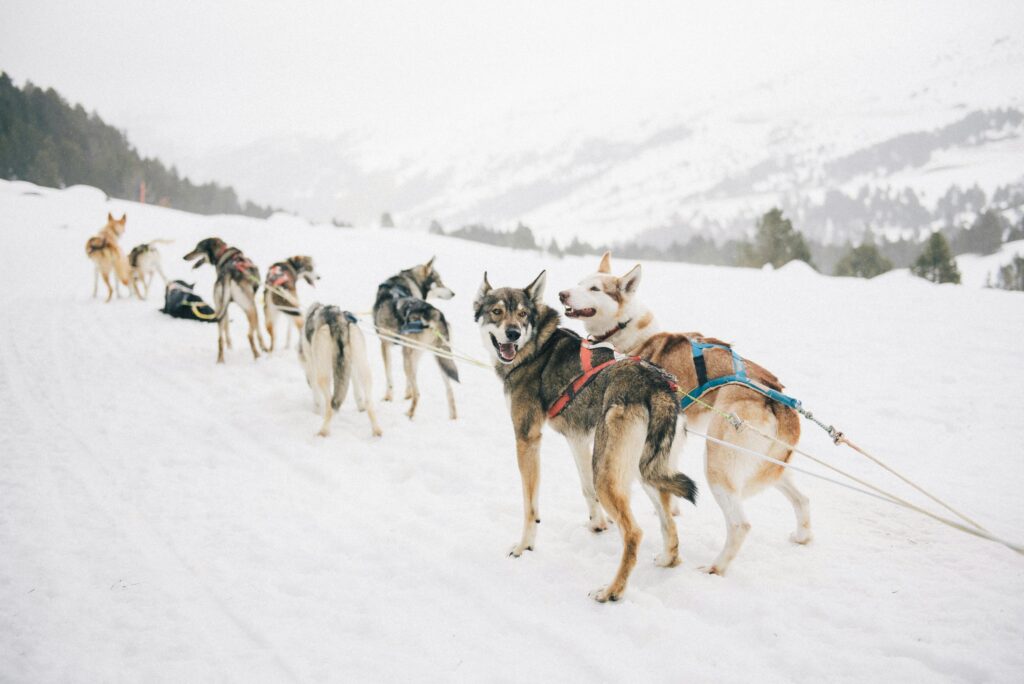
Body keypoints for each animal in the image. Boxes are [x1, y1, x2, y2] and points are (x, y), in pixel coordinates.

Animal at [301, 303, 385, 438]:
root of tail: (338, 322)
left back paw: (323, 431)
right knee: (369, 403)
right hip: (364, 369)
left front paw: (316, 412)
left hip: (323, 376)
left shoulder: (312, 367)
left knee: (329, 405)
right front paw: (360, 407)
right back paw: (376, 431)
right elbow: (357, 392)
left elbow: (317, 398)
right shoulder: (351, 367)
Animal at [372, 255, 456, 417]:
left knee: (419, 393)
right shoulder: (412, 353)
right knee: (450, 391)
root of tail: (434, 313)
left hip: (410, 357)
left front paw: (388, 398)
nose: (454, 293)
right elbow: (409, 380)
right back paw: (453, 418)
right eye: (439, 282)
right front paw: (407, 395)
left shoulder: (385, 345)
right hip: (441, 358)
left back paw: (409, 415)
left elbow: (389, 377)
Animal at [471, 270, 696, 602]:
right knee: (667, 520)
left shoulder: (527, 439)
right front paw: (597, 525)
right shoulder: (577, 438)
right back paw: (668, 559)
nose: (512, 334)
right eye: (497, 311)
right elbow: (586, 490)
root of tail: (656, 385)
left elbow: (530, 506)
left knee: (634, 533)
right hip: (643, 470)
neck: (537, 346)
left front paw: (524, 547)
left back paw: (611, 591)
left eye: (523, 314)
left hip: (609, 472)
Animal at [557, 252, 811, 577]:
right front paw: (672, 508)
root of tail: (777, 398)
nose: (562, 294)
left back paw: (715, 568)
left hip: (718, 462)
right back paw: (802, 536)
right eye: (580, 283)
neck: (630, 336)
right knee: (802, 499)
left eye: (594, 289)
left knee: (740, 524)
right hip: (769, 465)